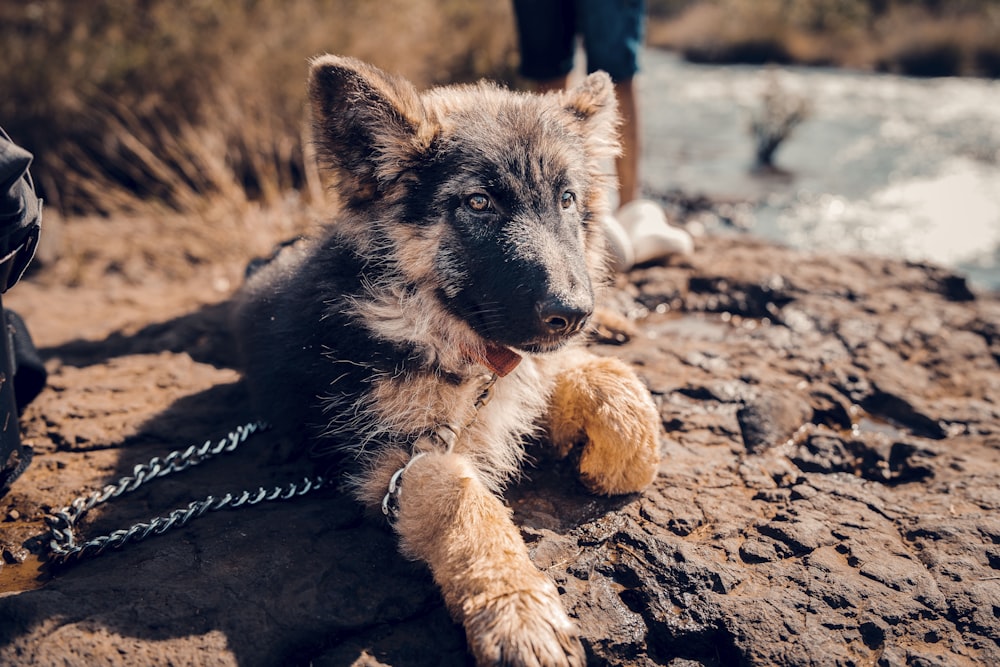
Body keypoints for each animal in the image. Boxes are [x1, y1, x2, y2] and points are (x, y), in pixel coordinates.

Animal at [234, 54, 664, 664]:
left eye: (566, 199)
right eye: (479, 203)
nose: (576, 313)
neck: (441, 327)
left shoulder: (520, 372)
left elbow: (607, 383)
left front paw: (613, 455)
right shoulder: (391, 457)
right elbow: (460, 499)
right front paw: (516, 607)